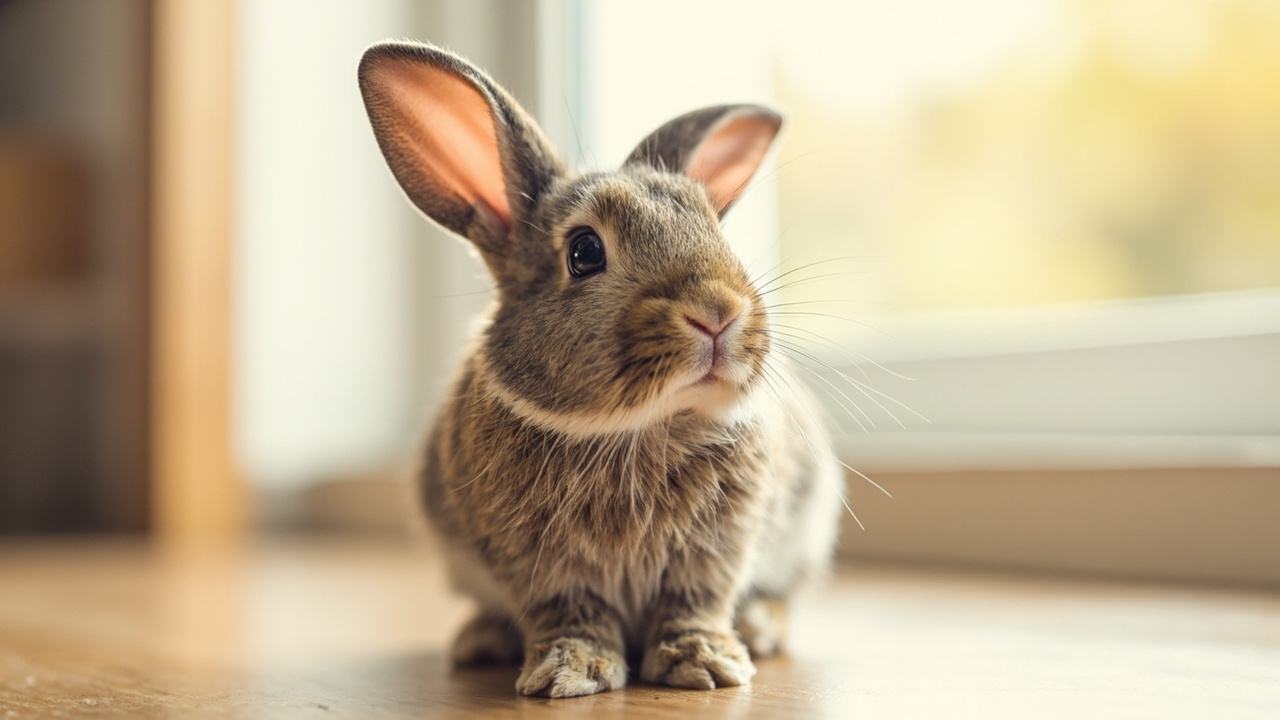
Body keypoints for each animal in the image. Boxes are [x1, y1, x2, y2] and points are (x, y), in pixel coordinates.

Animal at [358, 40, 844, 698]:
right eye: (584, 252)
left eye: (716, 229)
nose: (718, 312)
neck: (639, 427)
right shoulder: (540, 566)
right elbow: (571, 613)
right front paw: (571, 672)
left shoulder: (716, 550)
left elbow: (696, 603)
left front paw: (707, 665)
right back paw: (480, 642)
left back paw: (760, 627)